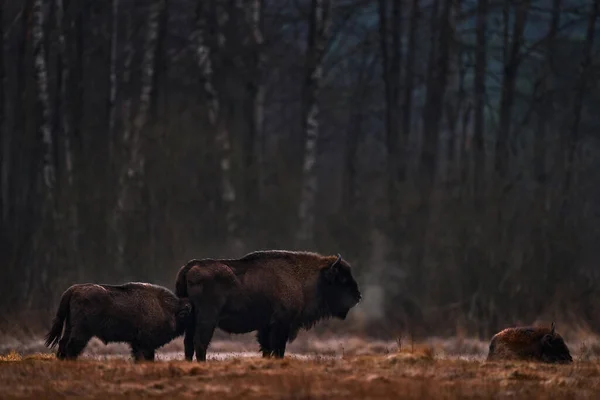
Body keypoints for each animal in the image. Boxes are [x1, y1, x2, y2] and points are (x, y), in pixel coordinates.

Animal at [45, 282, 191, 362]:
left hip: (69, 326)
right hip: (82, 331)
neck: (165, 307)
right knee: (72, 345)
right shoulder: (144, 343)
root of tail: (73, 289)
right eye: (186, 315)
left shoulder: (139, 343)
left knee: (63, 343)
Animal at [173, 248, 360, 360]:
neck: (302, 279)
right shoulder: (281, 323)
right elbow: (278, 349)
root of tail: (190, 267)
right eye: (342, 279)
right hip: (207, 319)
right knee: (200, 342)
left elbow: (267, 348)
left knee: (188, 343)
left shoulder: (266, 327)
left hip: (191, 320)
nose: (358, 296)